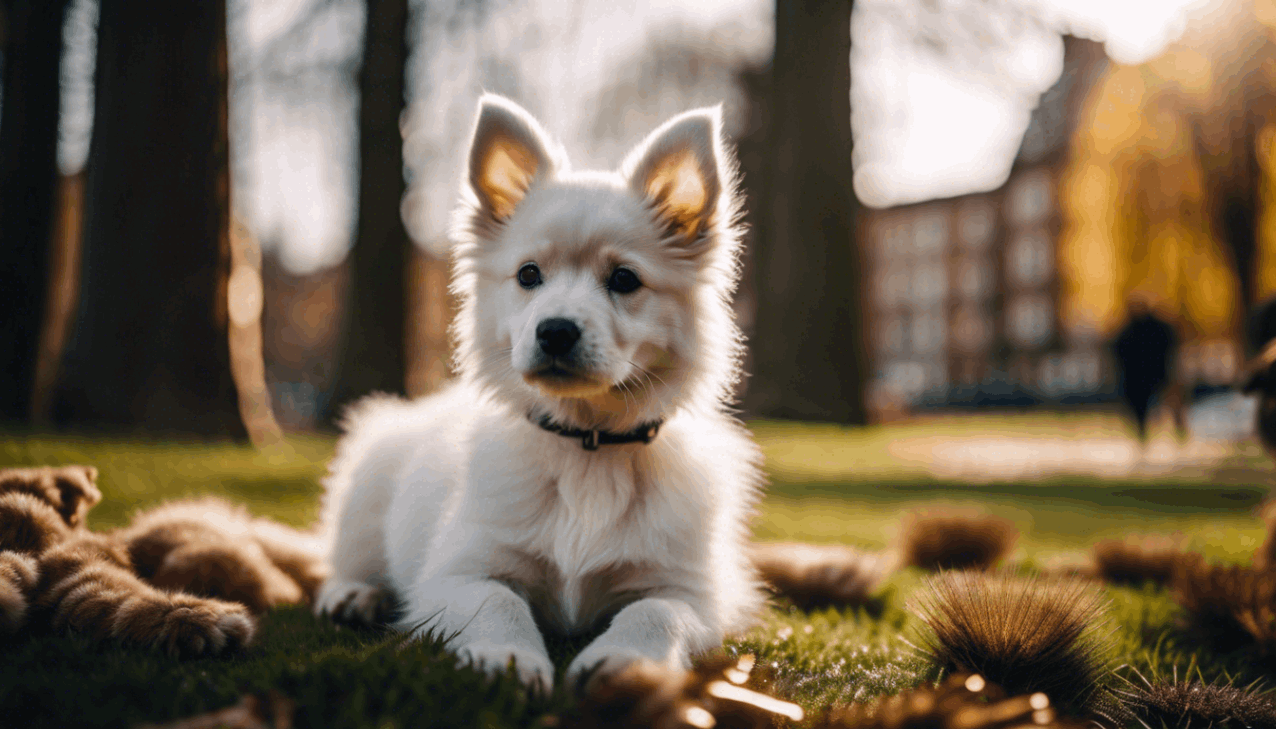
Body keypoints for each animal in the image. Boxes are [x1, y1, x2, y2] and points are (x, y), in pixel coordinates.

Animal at [313, 93, 760, 694]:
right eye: (528, 275)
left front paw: (625, 661)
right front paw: (510, 659)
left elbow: (655, 612)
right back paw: (354, 594)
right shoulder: (457, 573)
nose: (555, 331)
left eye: (624, 280)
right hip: (367, 482)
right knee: (343, 558)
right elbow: (498, 602)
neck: (586, 447)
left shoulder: (692, 591)